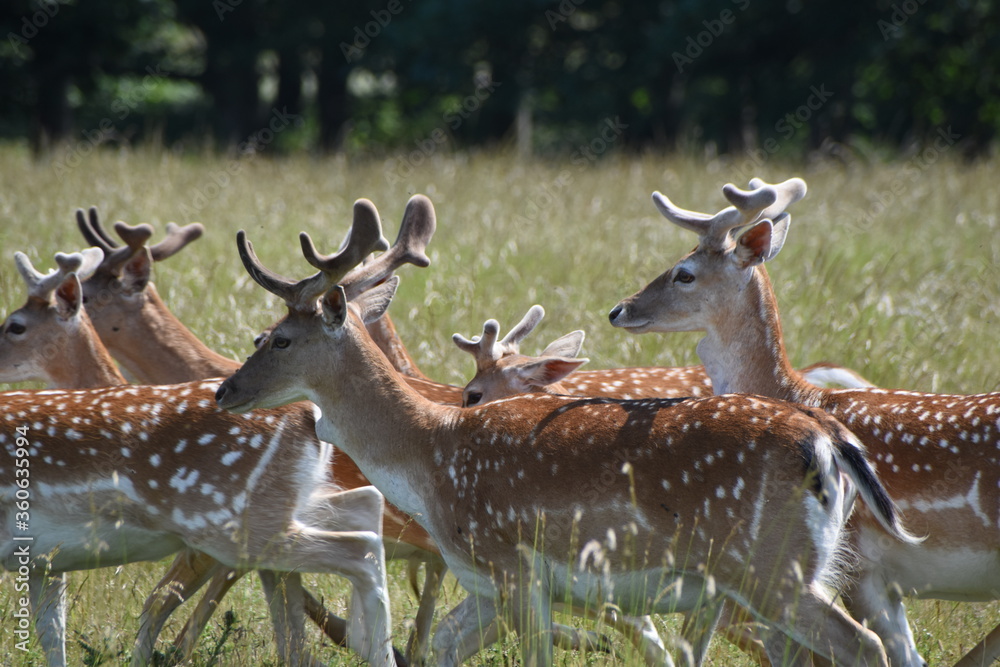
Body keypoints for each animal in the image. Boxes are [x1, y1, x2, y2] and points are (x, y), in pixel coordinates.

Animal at [0, 248, 399, 667]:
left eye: (15, 326)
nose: (225, 392)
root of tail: (308, 413)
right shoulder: (44, 557)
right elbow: (52, 634)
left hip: (231, 523)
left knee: (360, 548)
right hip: (283, 507)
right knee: (364, 509)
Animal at [213, 201, 923, 667]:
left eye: (277, 338)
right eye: (260, 335)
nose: (226, 391)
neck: (429, 458)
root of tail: (829, 438)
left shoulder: (514, 564)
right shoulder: (485, 584)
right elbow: (437, 647)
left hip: (770, 564)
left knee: (865, 644)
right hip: (799, 566)